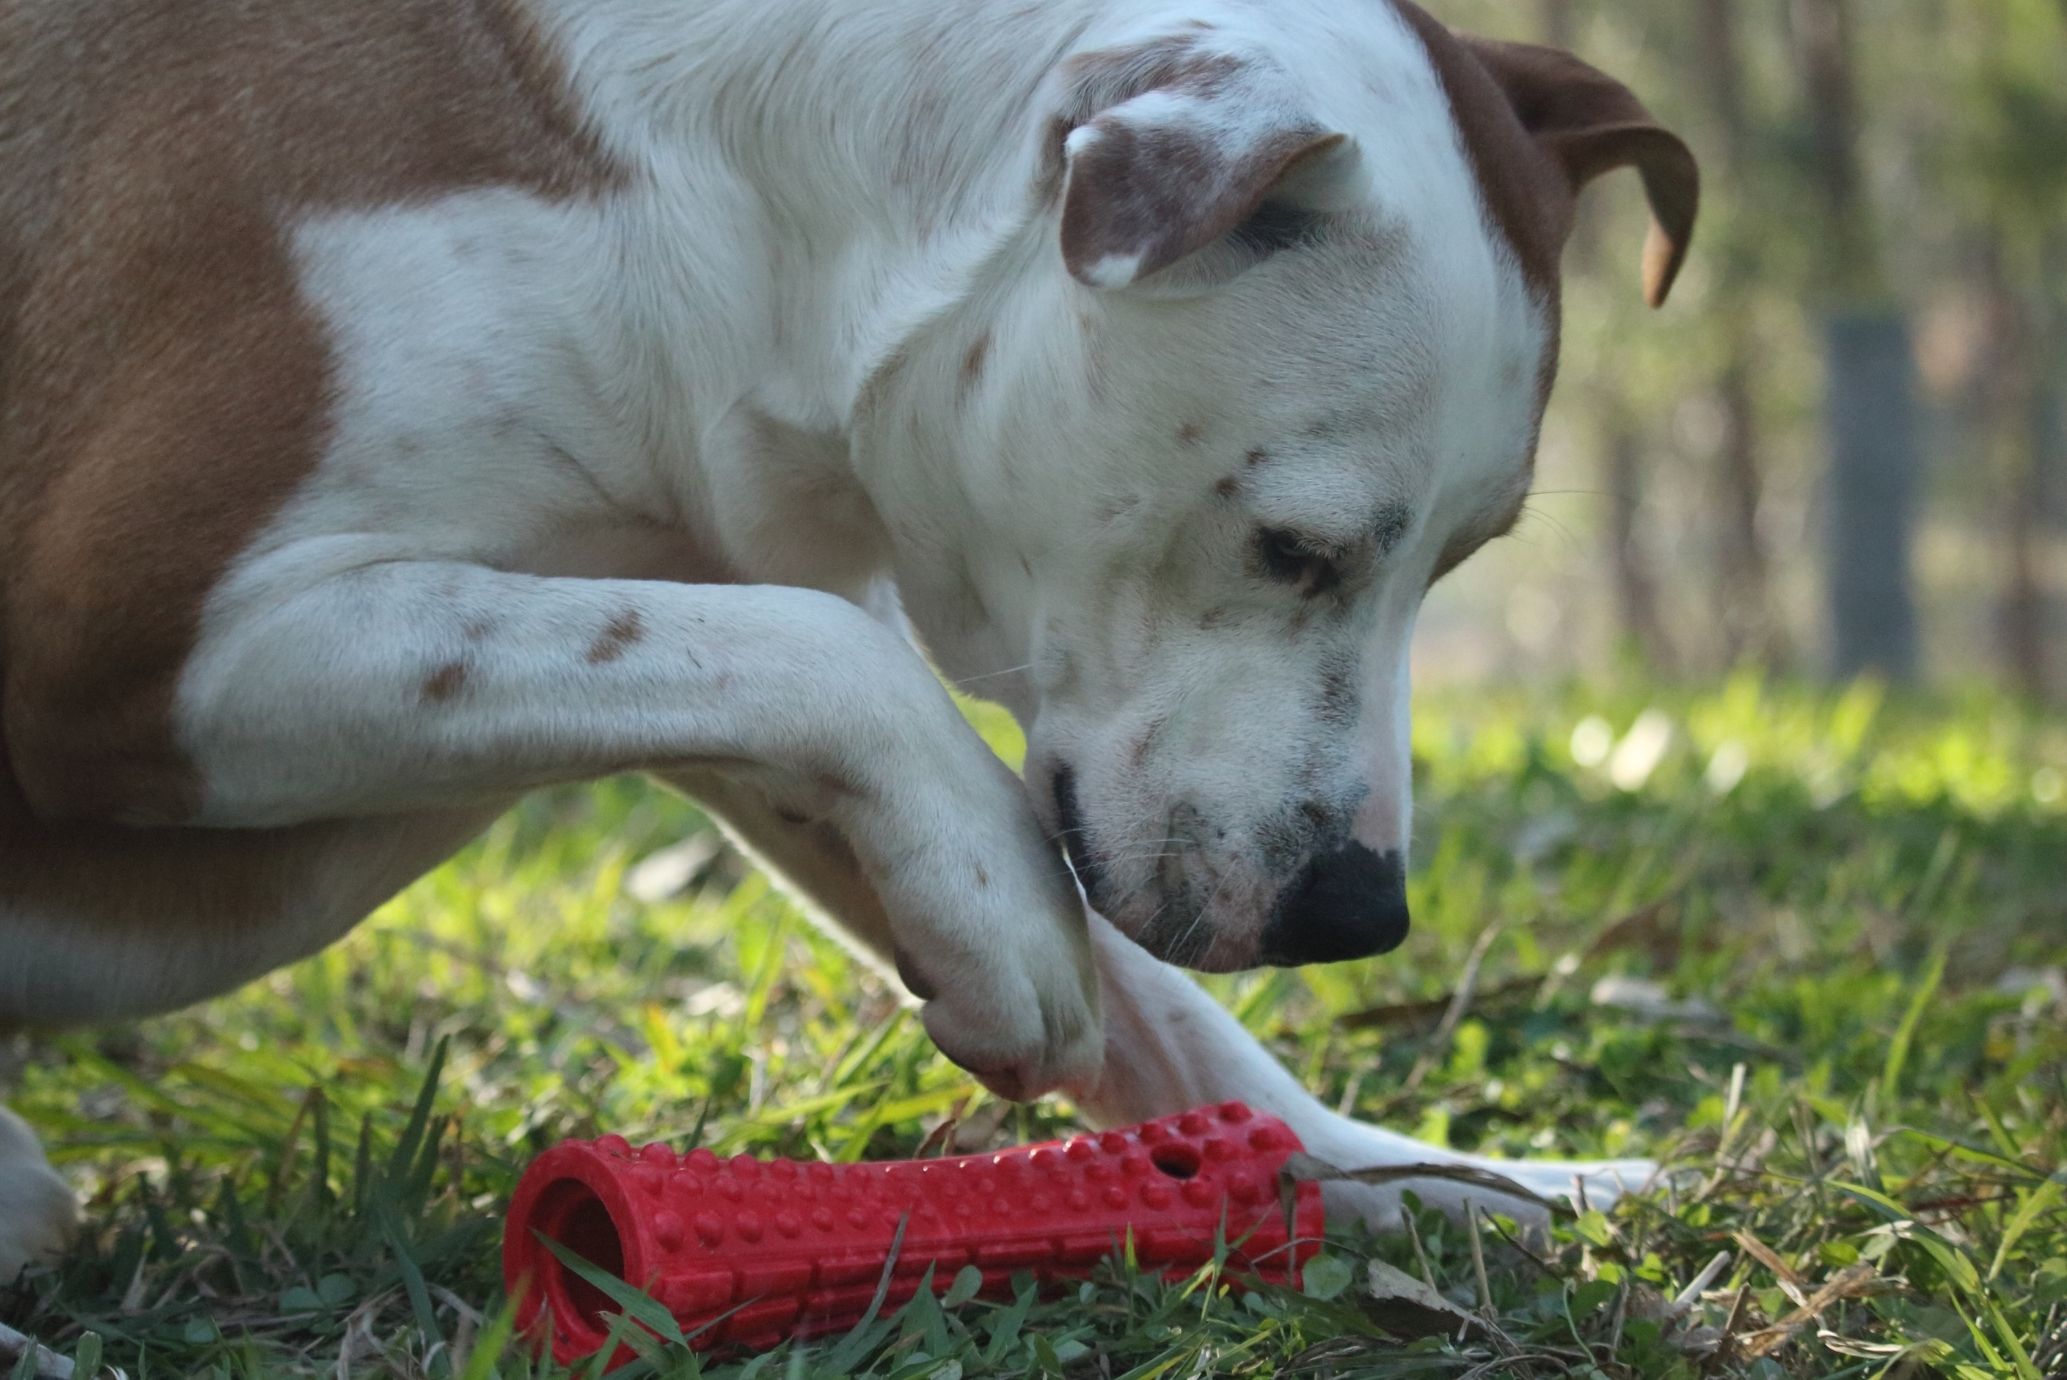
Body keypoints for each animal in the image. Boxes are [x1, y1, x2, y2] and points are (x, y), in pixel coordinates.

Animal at [0, 0, 1694, 1280]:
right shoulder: (137, 647)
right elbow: (839, 661)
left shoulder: (692, 616)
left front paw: (1440, 1181)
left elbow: (1154, 1004)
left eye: (1460, 558)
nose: (1357, 914)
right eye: (1294, 546)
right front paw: (1014, 931)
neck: (725, 215)